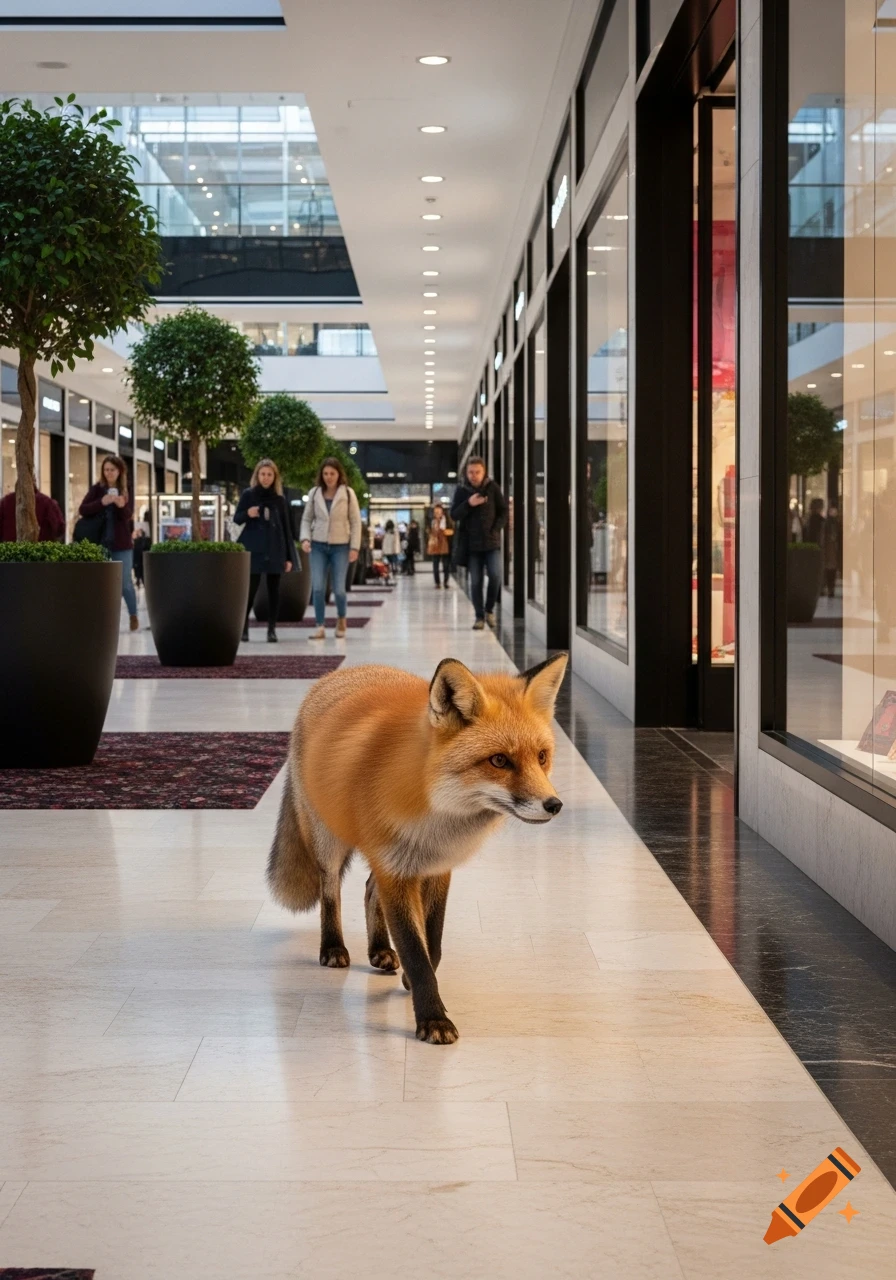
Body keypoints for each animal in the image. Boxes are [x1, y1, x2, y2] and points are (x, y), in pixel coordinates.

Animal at [267, 652, 568, 1044]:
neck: (433, 816)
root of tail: (340, 674)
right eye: (500, 760)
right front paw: (432, 1019)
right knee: (331, 890)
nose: (554, 805)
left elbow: (433, 943)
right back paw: (333, 947)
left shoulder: (436, 867)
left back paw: (379, 949)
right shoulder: (396, 870)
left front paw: (416, 983)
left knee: (368, 890)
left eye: (542, 757)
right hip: (330, 841)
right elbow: (414, 948)